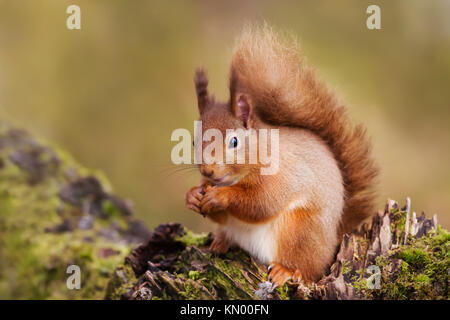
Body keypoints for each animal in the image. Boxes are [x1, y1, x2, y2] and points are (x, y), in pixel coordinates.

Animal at [185, 24, 378, 284]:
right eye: (194, 141)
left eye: (235, 141)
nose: (208, 171)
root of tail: (335, 239)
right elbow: (222, 215)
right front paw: (192, 196)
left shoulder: (283, 175)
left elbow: (262, 203)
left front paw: (221, 196)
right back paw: (219, 244)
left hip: (299, 231)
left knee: (306, 268)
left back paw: (285, 270)